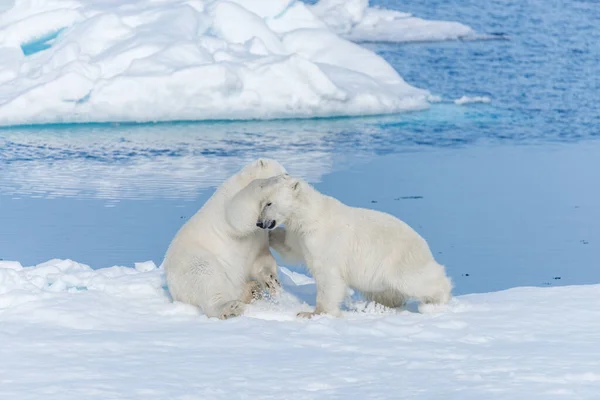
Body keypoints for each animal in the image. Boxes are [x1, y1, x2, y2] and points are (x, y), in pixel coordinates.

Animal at [162, 159, 288, 318]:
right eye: (284, 173)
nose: (287, 176)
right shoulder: (228, 197)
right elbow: (238, 213)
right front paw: (271, 182)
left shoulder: (260, 238)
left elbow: (261, 258)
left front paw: (272, 281)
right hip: (193, 261)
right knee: (207, 280)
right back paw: (230, 307)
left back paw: (252, 290)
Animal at [260, 175, 452, 318]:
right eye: (261, 202)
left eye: (269, 203)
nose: (260, 223)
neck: (311, 215)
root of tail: (425, 246)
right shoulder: (300, 235)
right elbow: (290, 249)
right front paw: (268, 236)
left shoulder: (325, 239)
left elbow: (328, 275)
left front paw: (313, 313)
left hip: (400, 260)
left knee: (416, 279)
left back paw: (434, 303)